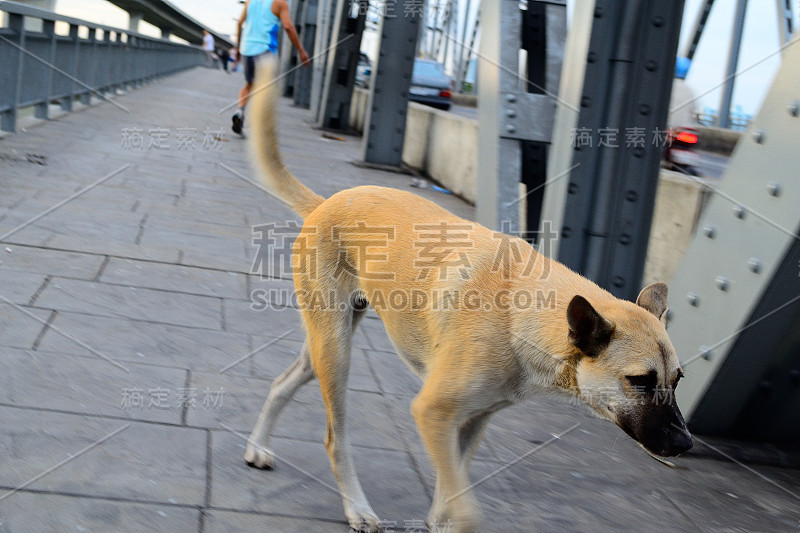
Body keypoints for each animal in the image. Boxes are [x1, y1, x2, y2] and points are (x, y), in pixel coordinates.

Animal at [242, 59, 688, 532]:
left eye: (678, 380)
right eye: (639, 381)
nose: (685, 443)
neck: (520, 311)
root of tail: (326, 203)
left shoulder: (471, 423)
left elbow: (448, 500)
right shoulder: (433, 413)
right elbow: (465, 510)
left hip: (324, 345)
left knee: (283, 381)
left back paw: (258, 447)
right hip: (336, 352)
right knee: (334, 439)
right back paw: (356, 507)